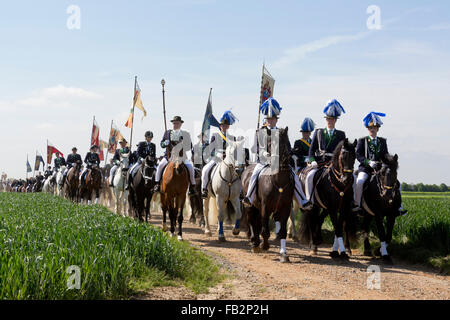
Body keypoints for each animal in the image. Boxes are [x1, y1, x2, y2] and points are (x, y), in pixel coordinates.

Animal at [241, 127, 294, 262]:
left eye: (287, 142)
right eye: (271, 144)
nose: (281, 160)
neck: (279, 181)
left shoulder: (285, 208)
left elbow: (282, 232)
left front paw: (283, 255)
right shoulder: (265, 206)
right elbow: (265, 230)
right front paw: (264, 245)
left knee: (257, 222)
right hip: (250, 205)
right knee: (252, 220)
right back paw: (255, 243)